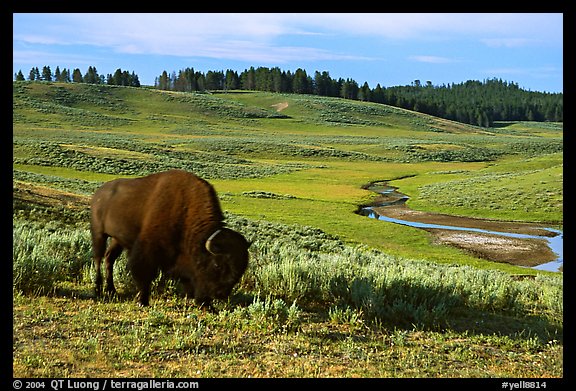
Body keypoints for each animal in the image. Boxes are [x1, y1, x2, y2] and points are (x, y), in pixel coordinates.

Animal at [89, 170, 250, 308]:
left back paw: (111, 290)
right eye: (217, 265)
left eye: (242, 268)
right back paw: (98, 289)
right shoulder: (147, 250)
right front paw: (142, 301)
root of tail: (98, 193)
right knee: (98, 258)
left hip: (117, 240)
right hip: (99, 233)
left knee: (109, 258)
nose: (220, 294)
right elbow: (144, 274)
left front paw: (204, 304)